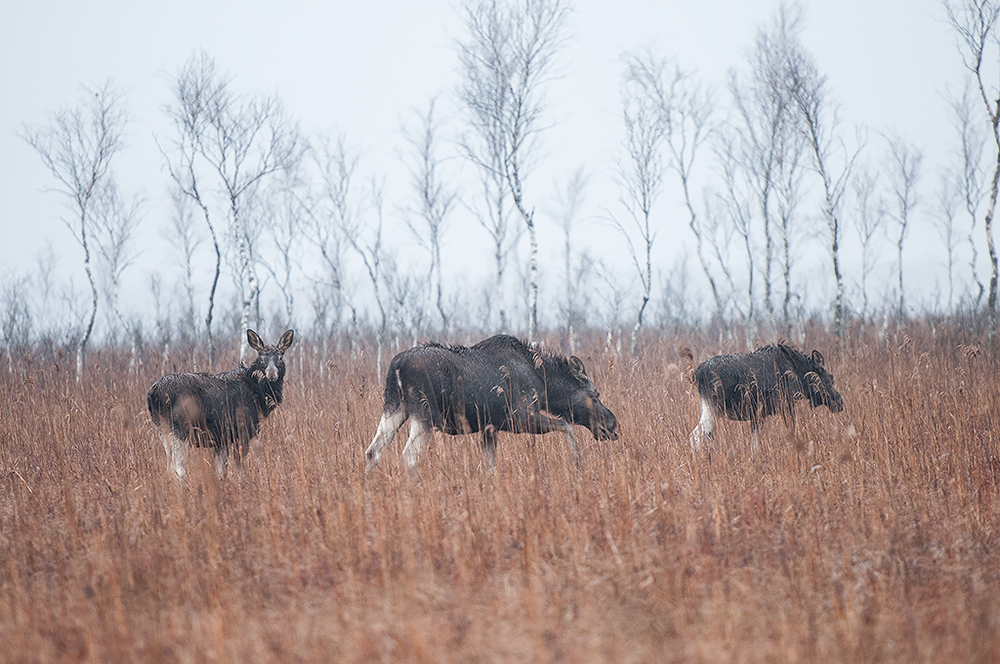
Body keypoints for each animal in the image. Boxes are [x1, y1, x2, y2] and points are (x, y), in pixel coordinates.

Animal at [146, 328, 292, 478]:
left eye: (280, 357)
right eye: (262, 358)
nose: (272, 375)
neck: (259, 395)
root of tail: (154, 393)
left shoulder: (222, 439)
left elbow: (222, 471)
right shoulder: (242, 432)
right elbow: (239, 470)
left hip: (163, 429)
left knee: (169, 468)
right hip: (180, 427)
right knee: (178, 469)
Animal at [364, 332, 620, 472]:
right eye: (595, 395)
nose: (613, 424)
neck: (544, 384)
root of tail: (396, 367)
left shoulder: (490, 427)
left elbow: (489, 465)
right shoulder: (519, 417)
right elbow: (567, 426)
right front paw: (578, 464)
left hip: (394, 407)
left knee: (372, 452)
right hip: (424, 413)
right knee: (408, 457)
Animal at [688, 342, 844, 452]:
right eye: (830, 379)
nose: (840, 402)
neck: (799, 373)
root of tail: (697, 373)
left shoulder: (758, 415)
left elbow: (754, 445)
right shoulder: (786, 406)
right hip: (713, 408)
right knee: (696, 434)